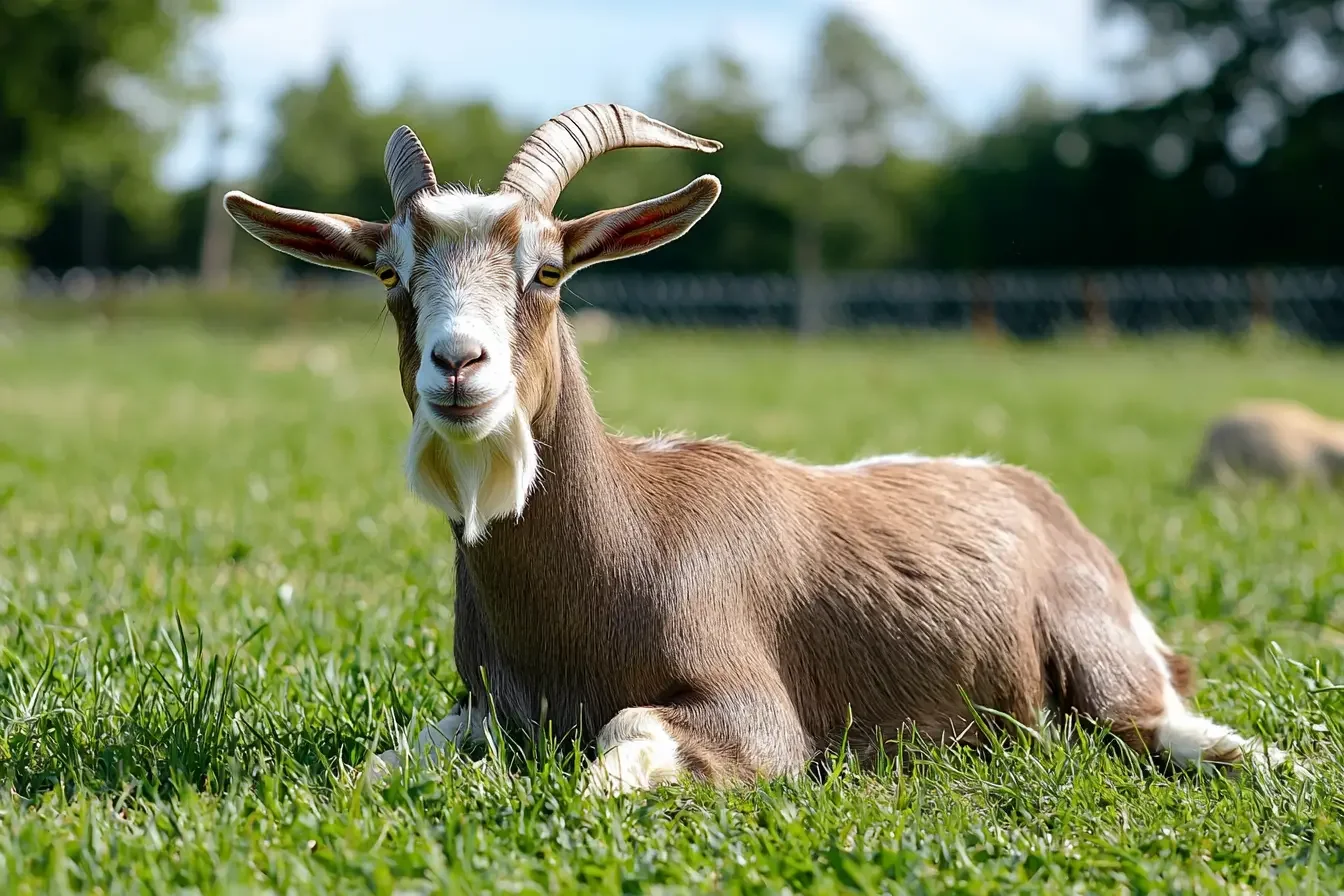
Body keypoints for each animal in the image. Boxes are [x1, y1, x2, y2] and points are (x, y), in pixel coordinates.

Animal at [223, 104, 1285, 794]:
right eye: (391, 276)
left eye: (549, 272)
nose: (459, 365)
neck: (623, 545)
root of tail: (1035, 496)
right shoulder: (483, 712)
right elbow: (371, 769)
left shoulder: (757, 717)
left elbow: (615, 756)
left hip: (1110, 669)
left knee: (1168, 729)